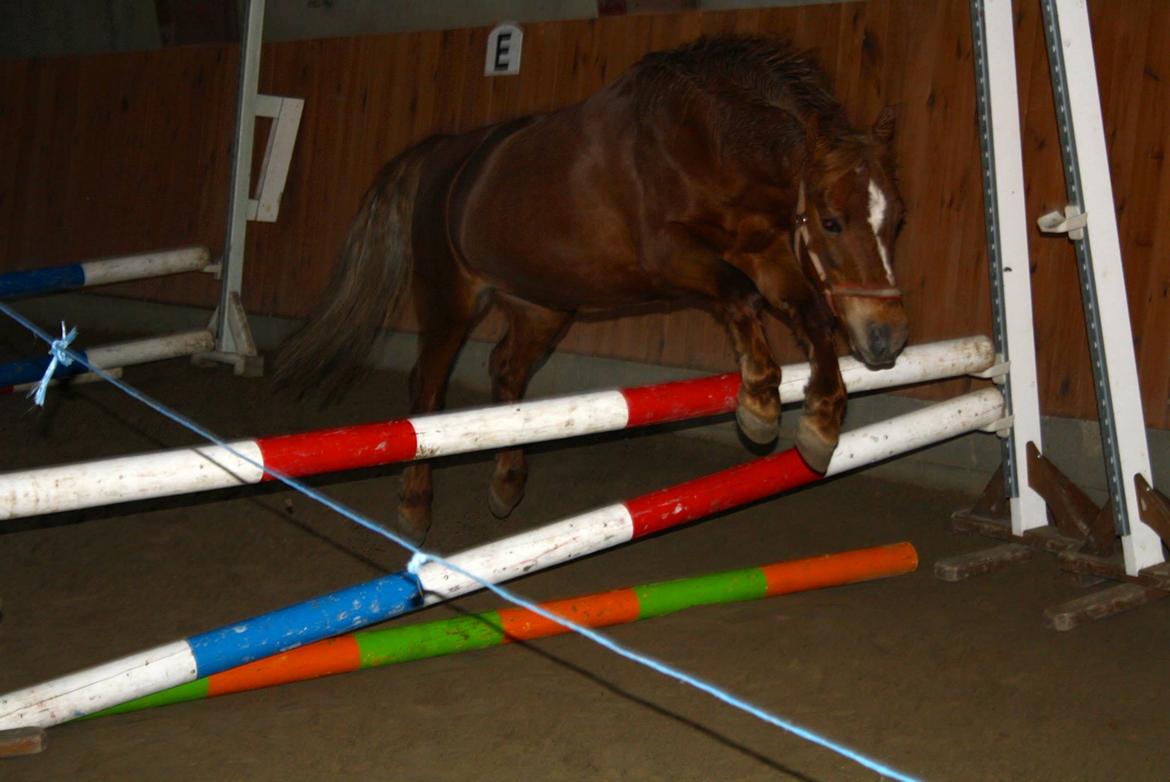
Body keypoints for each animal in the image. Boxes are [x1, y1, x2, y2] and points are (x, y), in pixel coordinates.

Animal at [276, 36, 909, 541]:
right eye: (831, 221)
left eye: (897, 218)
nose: (887, 339)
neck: (705, 141)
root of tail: (440, 153)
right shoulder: (671, 257)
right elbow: (741, 297)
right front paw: (758, 404)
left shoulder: (766, 251)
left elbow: (811, 314)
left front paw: (820, 423)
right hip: (449, 301)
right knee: (426, 393)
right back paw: (414, 504)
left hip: (544, 305)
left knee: (506, 371)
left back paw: (508, 481)